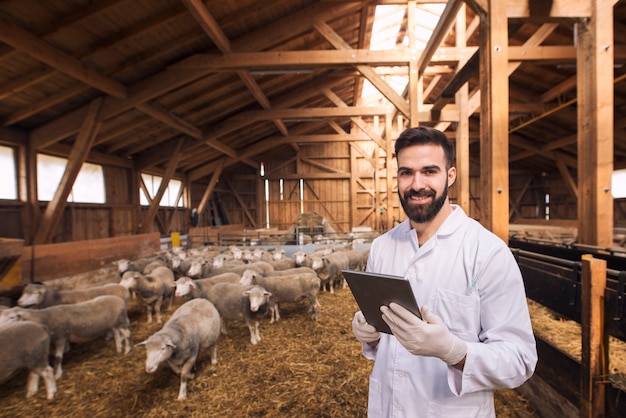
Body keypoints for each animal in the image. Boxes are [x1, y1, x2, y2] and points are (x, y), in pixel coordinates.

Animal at [0, 294, 130, 378]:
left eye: (12, 317)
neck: (44, 318)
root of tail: (119, 299)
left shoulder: (60, 337)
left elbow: (57, 358)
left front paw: (57, 375)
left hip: (119, 320)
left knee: (126, 333)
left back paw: (127, 350)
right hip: (112, 324)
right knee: (116, 334)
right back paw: (119, 349)